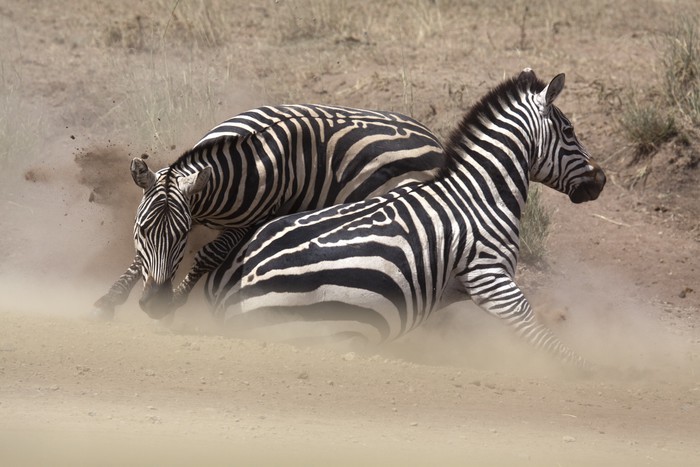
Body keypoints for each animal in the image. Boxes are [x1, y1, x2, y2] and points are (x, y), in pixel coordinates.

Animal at [93, 104, 448, 320]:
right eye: (141, 230)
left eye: (182, 237)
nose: (154, 303)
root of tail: (433, 138)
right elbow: (140, 259)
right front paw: (111, 298)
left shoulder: (251, 223)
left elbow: (208, 255)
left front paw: (178, 299)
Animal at [204, 69, 606, 368]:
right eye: (569, 131)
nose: (600, 180)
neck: (480, 194)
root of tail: (231, 288)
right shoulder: (489, 276)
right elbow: (532, 326)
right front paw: (588, 368)